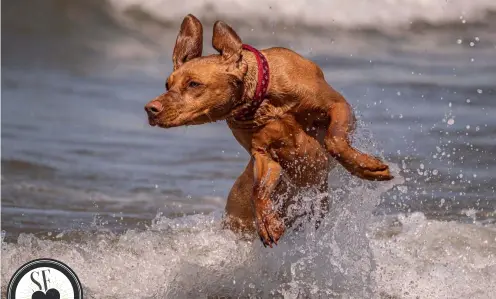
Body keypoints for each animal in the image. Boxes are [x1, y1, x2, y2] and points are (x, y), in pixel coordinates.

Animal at [145, 14, 394, 248]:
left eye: (194, 84)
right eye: (167, 85)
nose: (150, 109)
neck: (263, 102)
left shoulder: (338, 106)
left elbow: (334, 141)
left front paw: (366, 167)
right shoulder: (264, 154)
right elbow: (259, 189)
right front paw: (266, 222)